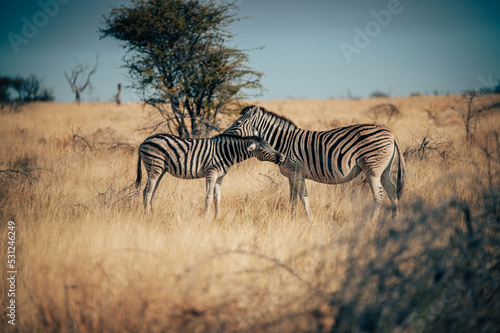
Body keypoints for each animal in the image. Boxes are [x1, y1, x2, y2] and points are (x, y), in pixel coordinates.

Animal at [135, 132, 286, 218]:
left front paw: (217, 218)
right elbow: (208, 197)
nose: (282, 157)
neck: (226, 153)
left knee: (151, 191)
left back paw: (152, 214)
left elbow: (217, 198)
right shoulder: (211, 173)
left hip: (161, 169)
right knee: (147, 191)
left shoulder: (220, 176)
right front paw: (206, 218)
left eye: (270, 145)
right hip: (154, 166)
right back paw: (147, 216)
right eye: (264, 149)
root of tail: (144, 141)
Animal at [225, 105, 404, 222]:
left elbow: (303, 197)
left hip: (372, 169)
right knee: (392, 192)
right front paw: (292, 220)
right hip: (384, 170)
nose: (223, 135)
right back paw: (394, 220)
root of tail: (391, 132)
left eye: (238, 123)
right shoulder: (291, 175)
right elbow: (292, 199)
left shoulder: (297, 172)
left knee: (379, 195)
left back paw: (372, 222)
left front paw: (310, 220)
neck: (284, 143)